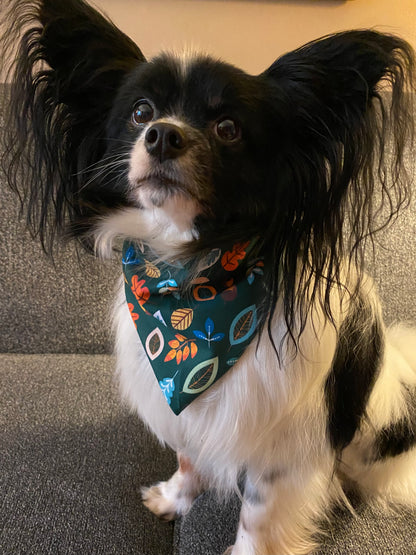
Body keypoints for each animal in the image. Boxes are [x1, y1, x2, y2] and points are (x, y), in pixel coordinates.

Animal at [2, 1, 416, 555]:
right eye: (141, 113)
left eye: (228, 128)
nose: (162, 134)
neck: (196, 281)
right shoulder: (191, 414)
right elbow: (188, 458)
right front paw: (175, 500)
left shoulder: (283, 452)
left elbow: (259, 518)